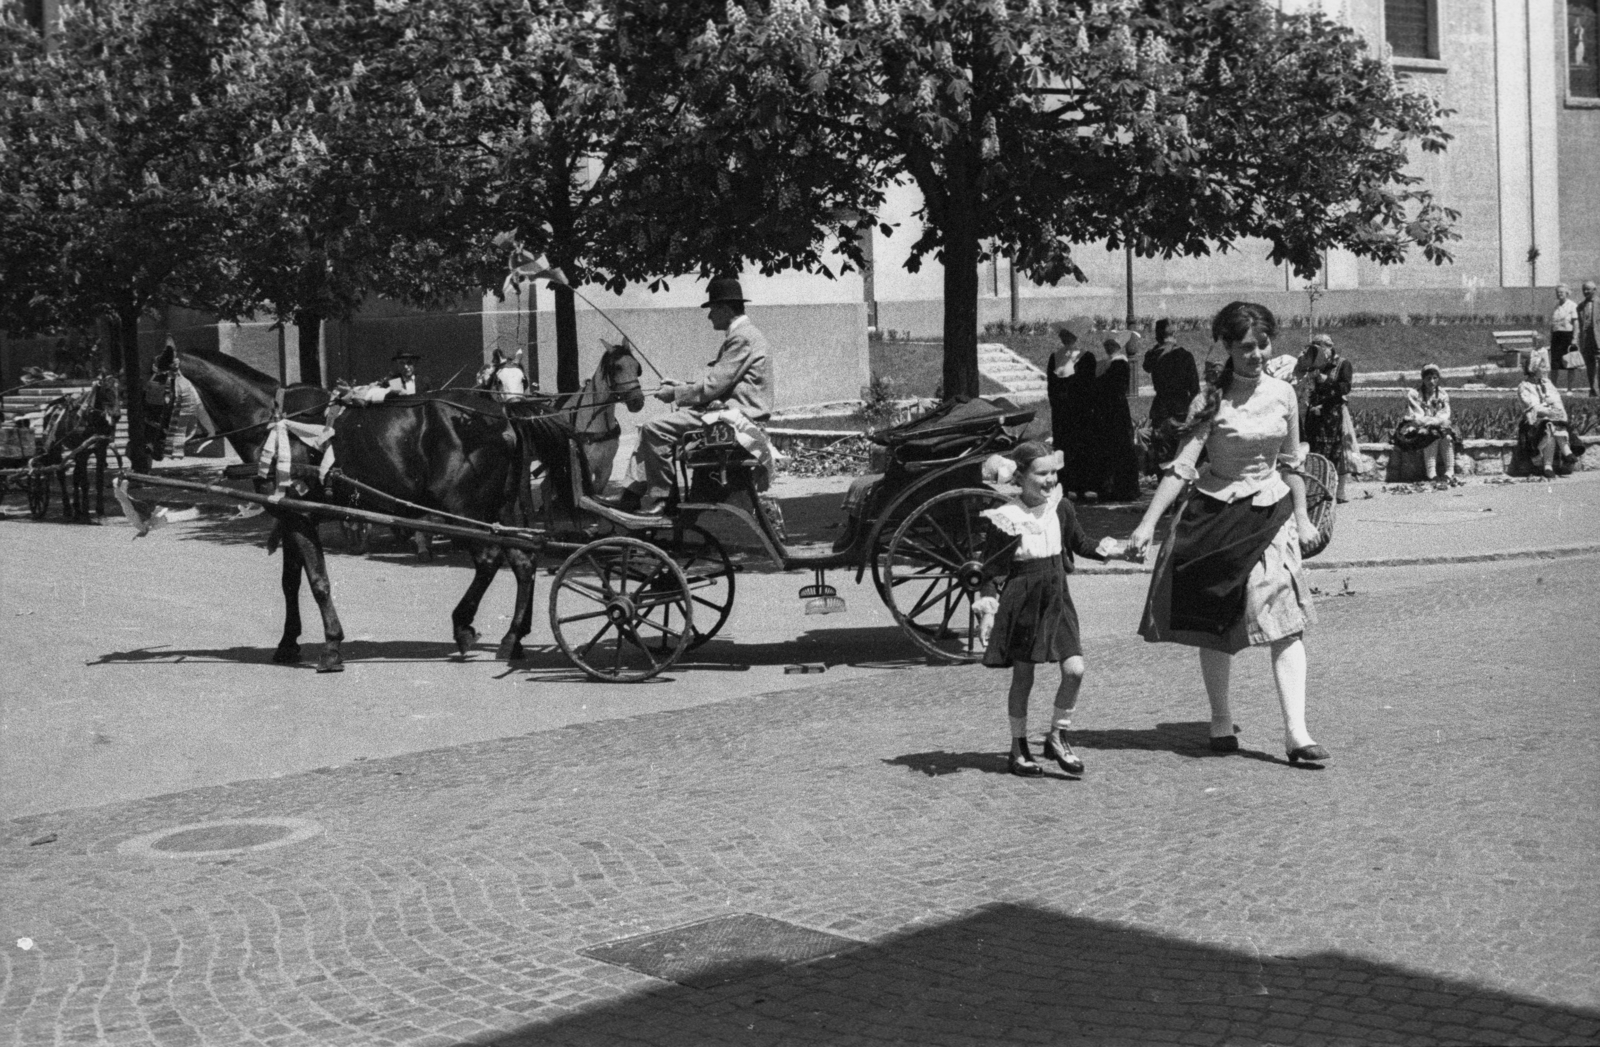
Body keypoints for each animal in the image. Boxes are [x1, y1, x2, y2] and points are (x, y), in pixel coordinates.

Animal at [145, 344, 576, 672]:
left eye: (155, 389)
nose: (145, 446)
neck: (274, 419)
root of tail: (499, 414)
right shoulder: (289, 514)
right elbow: (290, 582)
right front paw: (288, 643)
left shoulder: (300, 515)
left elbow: (317, 581)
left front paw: (332, 646)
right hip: (499, 509)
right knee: (523, 562)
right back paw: (512, 638)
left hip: (465, 507)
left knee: (488, 560)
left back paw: (464, 626)